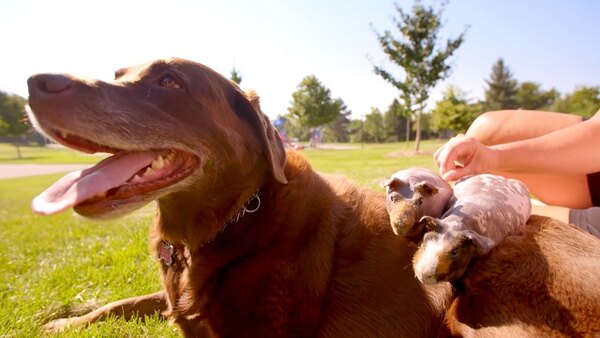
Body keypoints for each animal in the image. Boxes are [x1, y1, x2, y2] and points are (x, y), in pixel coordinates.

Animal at [25, 58, 452, 336]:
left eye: (169, 81)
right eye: (118, 75)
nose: (35, 82)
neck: (237, 216)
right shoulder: (176, 299)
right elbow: (122, 303)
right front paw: (67, 319)